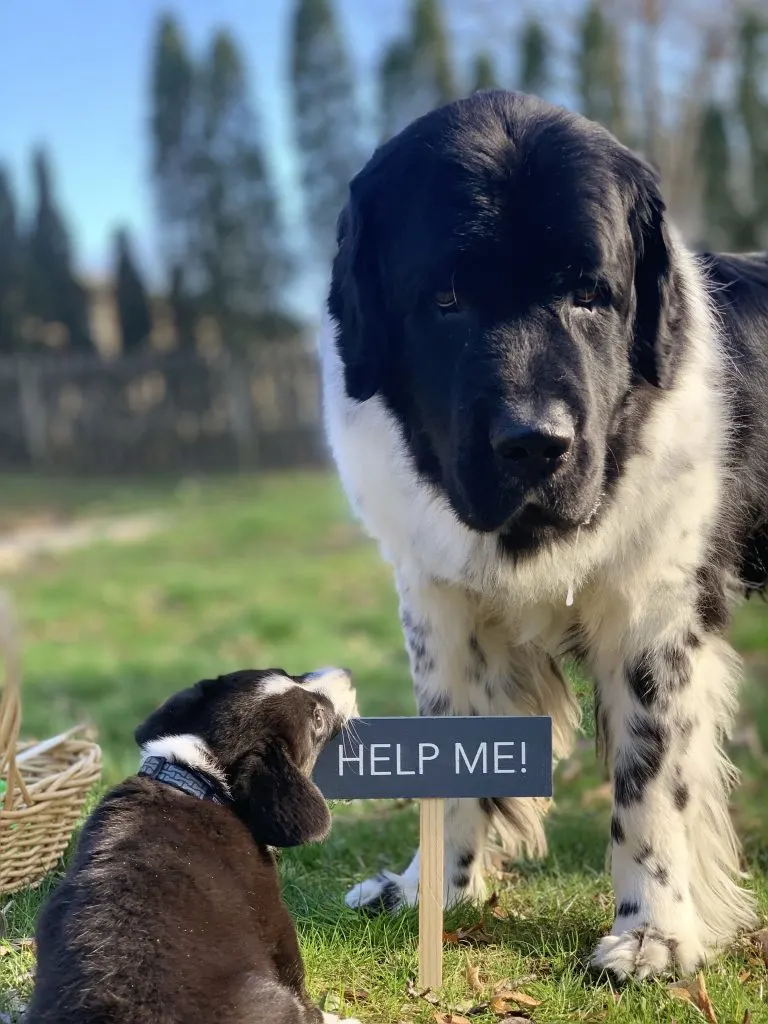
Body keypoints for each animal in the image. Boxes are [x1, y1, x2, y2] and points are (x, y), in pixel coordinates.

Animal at [27, 667, 364, 1024]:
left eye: (285, 672)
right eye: (317, 719)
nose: (347, 673)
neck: (201, 776)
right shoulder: (272, 912)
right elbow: (296, 977)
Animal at [321, 92, 768, 978]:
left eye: (591, 296)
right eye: (446, 301)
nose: (536, 442)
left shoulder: (654, 611)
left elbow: (649, 776)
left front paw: (652, 935)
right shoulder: (437, 601)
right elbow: (448, 749)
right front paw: (432, 891)